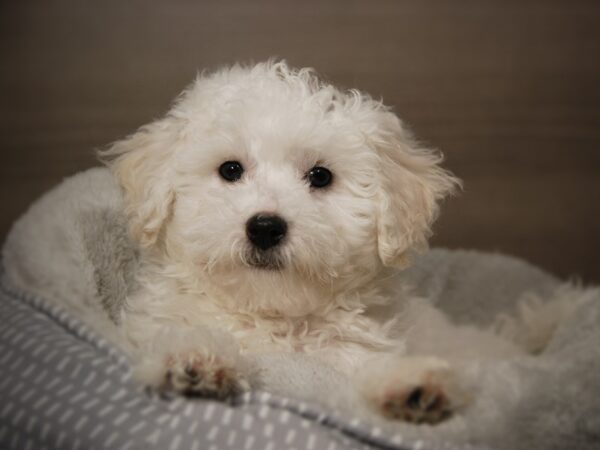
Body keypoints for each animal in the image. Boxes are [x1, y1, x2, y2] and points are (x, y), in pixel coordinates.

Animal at [97, 61, 548, 424]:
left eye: (320, 176)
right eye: (230, 170)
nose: (265, 227)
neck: (274, 318)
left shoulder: (345, 363)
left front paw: (409, 386)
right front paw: (194, 358)